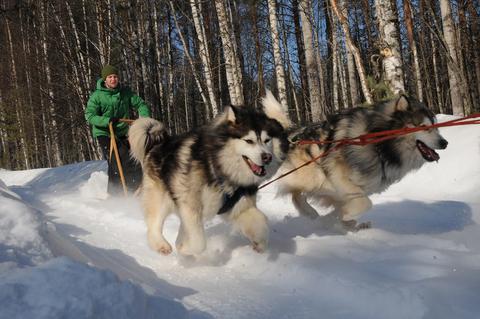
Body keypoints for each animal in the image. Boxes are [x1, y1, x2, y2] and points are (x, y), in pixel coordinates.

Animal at [127, 99, 288, 256]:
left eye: (267, 140)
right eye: (249, 141)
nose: (267, 157)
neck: (219, 167)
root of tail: (160, 142)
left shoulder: (240, 206)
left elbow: (262, 222)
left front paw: (260, 244)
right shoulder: (190, 205)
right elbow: (199, 242)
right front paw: (185, 249)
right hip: (161, 199)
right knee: (154, 224)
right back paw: (160, 245)